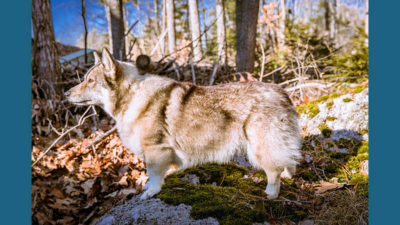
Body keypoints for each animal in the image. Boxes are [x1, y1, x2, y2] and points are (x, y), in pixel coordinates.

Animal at [65, 48, 302, 200]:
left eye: (90, 81)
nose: (66, 94)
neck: (131, 95)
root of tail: (283, 93)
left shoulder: (155, 151)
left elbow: (153, 175)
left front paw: (151, 191)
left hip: (260, 148)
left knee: (274, 171)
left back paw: (271, 194)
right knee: (288, 163)